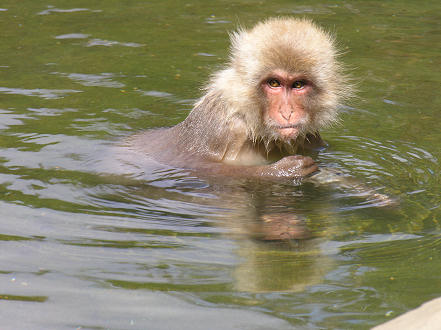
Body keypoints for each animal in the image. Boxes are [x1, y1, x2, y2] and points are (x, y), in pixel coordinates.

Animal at [128, 18, 350, 180]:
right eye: (274, 83)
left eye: (298, 85)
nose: (287, 112)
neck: (252, 122)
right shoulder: (222, 126)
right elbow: (195, 166)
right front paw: (282, 172)